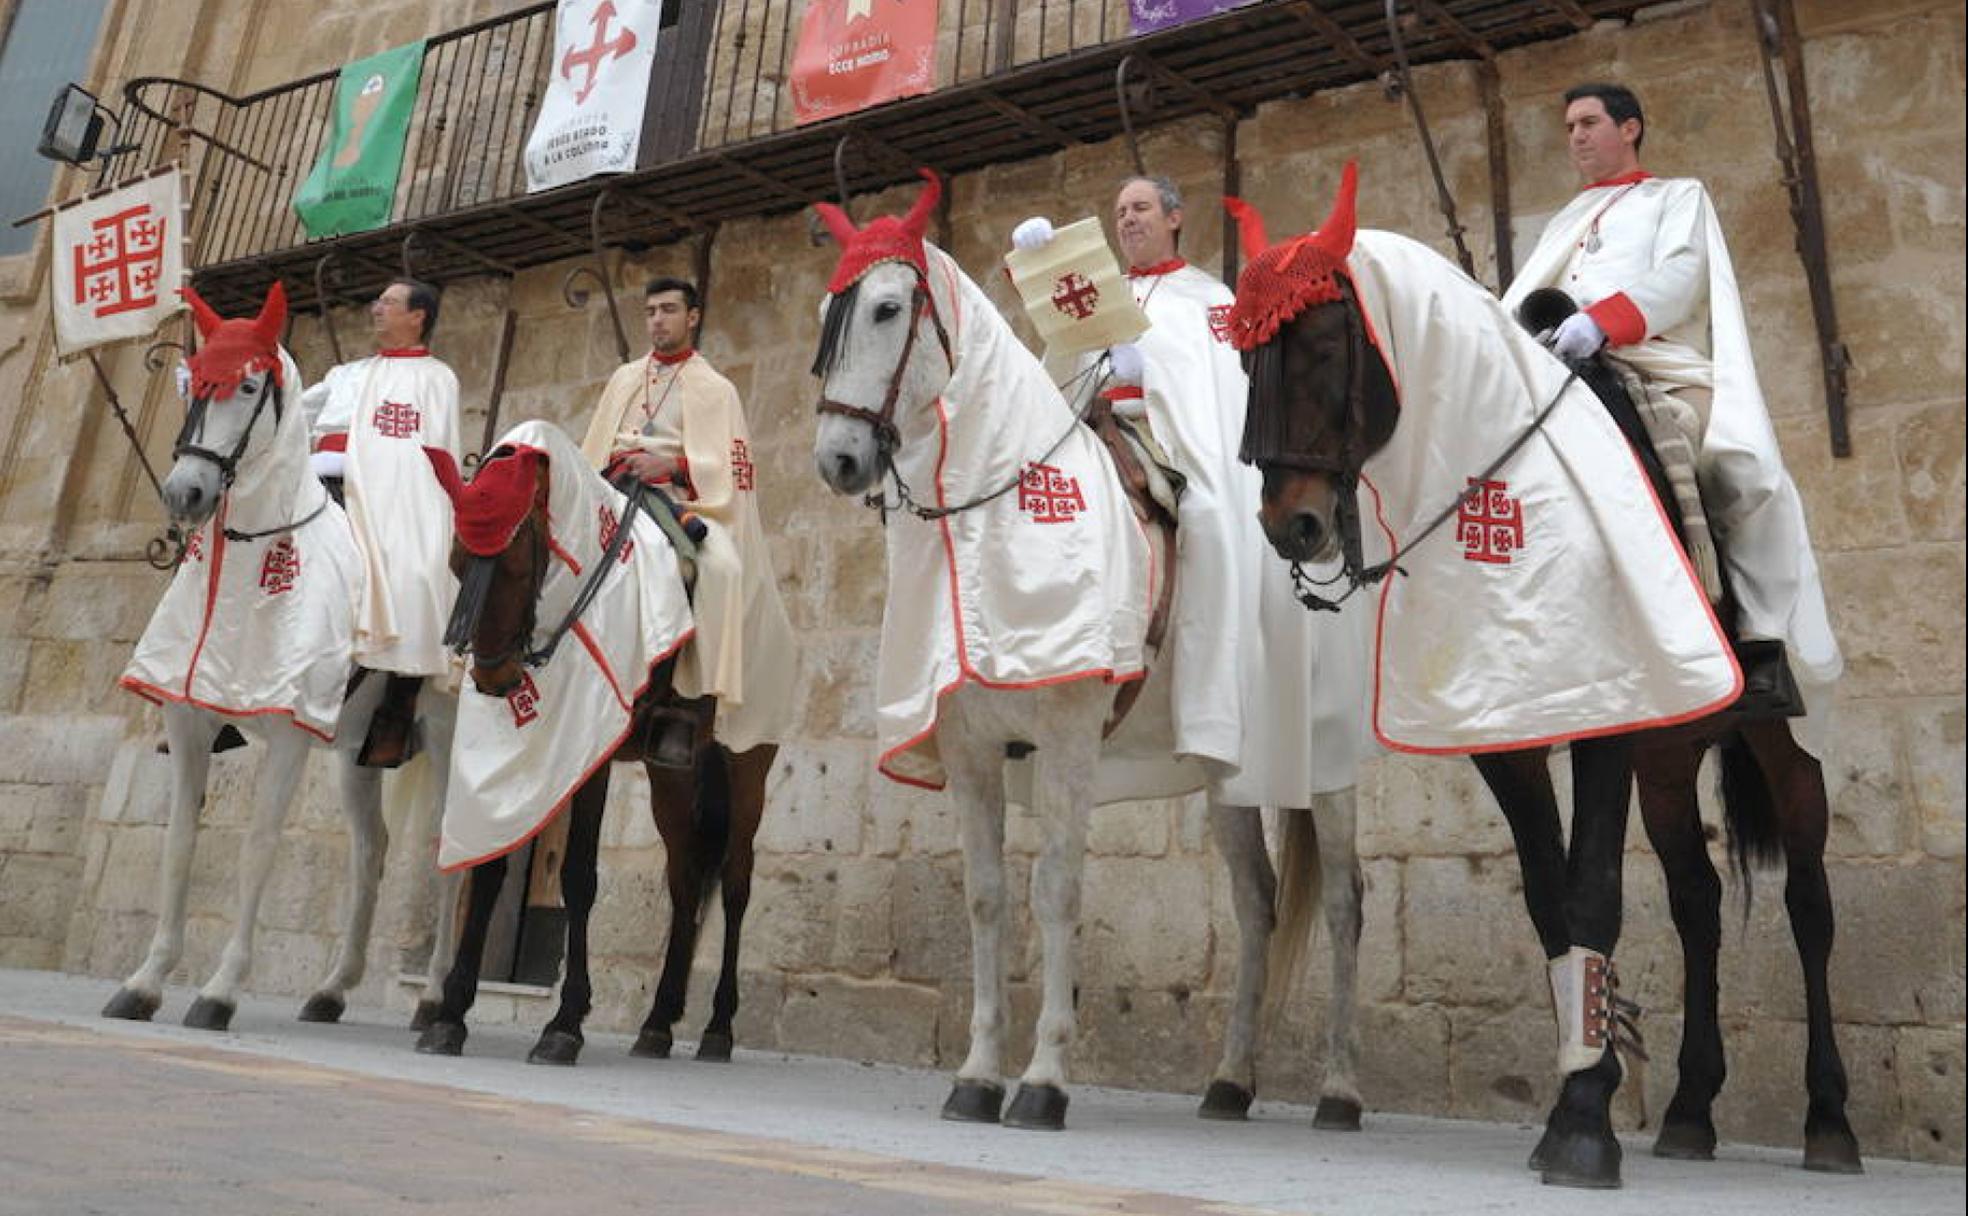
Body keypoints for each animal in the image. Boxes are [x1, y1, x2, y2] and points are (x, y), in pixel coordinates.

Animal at [108, 287, 460, 1031]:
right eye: (194, 384)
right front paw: (146, 980)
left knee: (448, 849)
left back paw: (436, 1000)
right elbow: (178, 843)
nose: (185, 494)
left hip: (446, 736)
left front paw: (218, 991)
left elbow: (257, 847)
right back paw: (332, 988)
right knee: (371, 848)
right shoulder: (189, 720)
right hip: (357, 752)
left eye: (247, 385)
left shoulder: (290, 732)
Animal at [415, 423, 775, 1062]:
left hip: (746, 762)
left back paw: (717, 1029)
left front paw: (564, 1025)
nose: (495, 680)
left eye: (515, 566)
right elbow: (490, 867)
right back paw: (657, 1024)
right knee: (685, 881)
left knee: (735, 882)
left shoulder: (594, 749)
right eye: (457, 564)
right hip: (671, 775)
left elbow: (579, 877)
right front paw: (452, 1013)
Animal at [802, 177, 1369, 1125]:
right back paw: (1229, 1080)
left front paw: (1043, 1079)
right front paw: (977, 1073)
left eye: (885, 308)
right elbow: (988, 897)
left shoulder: (1067, 737)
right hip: (1226, 769)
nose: (838, 460)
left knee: (1345, 904)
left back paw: (1338, 1090)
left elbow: (1058, 889)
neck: (993, 516)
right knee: (1255, 903)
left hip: (1325, 766)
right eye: (826, 315)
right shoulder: (970, 749)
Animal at [1228, 168, 1857, 1180]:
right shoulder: (1510, 739)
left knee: (1806, 884)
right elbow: (1550, 901)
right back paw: (1689, 1110)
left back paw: (1829, 1118)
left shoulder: (1609, 719)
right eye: (1248, 363)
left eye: (1324, 344)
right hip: (1670, 756)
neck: (1513, 485)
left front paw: (1585, 1127)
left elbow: (1593, 887)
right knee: (1697, 900)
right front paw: (1584, 1082)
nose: (1294, 526)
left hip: (1768, 729)